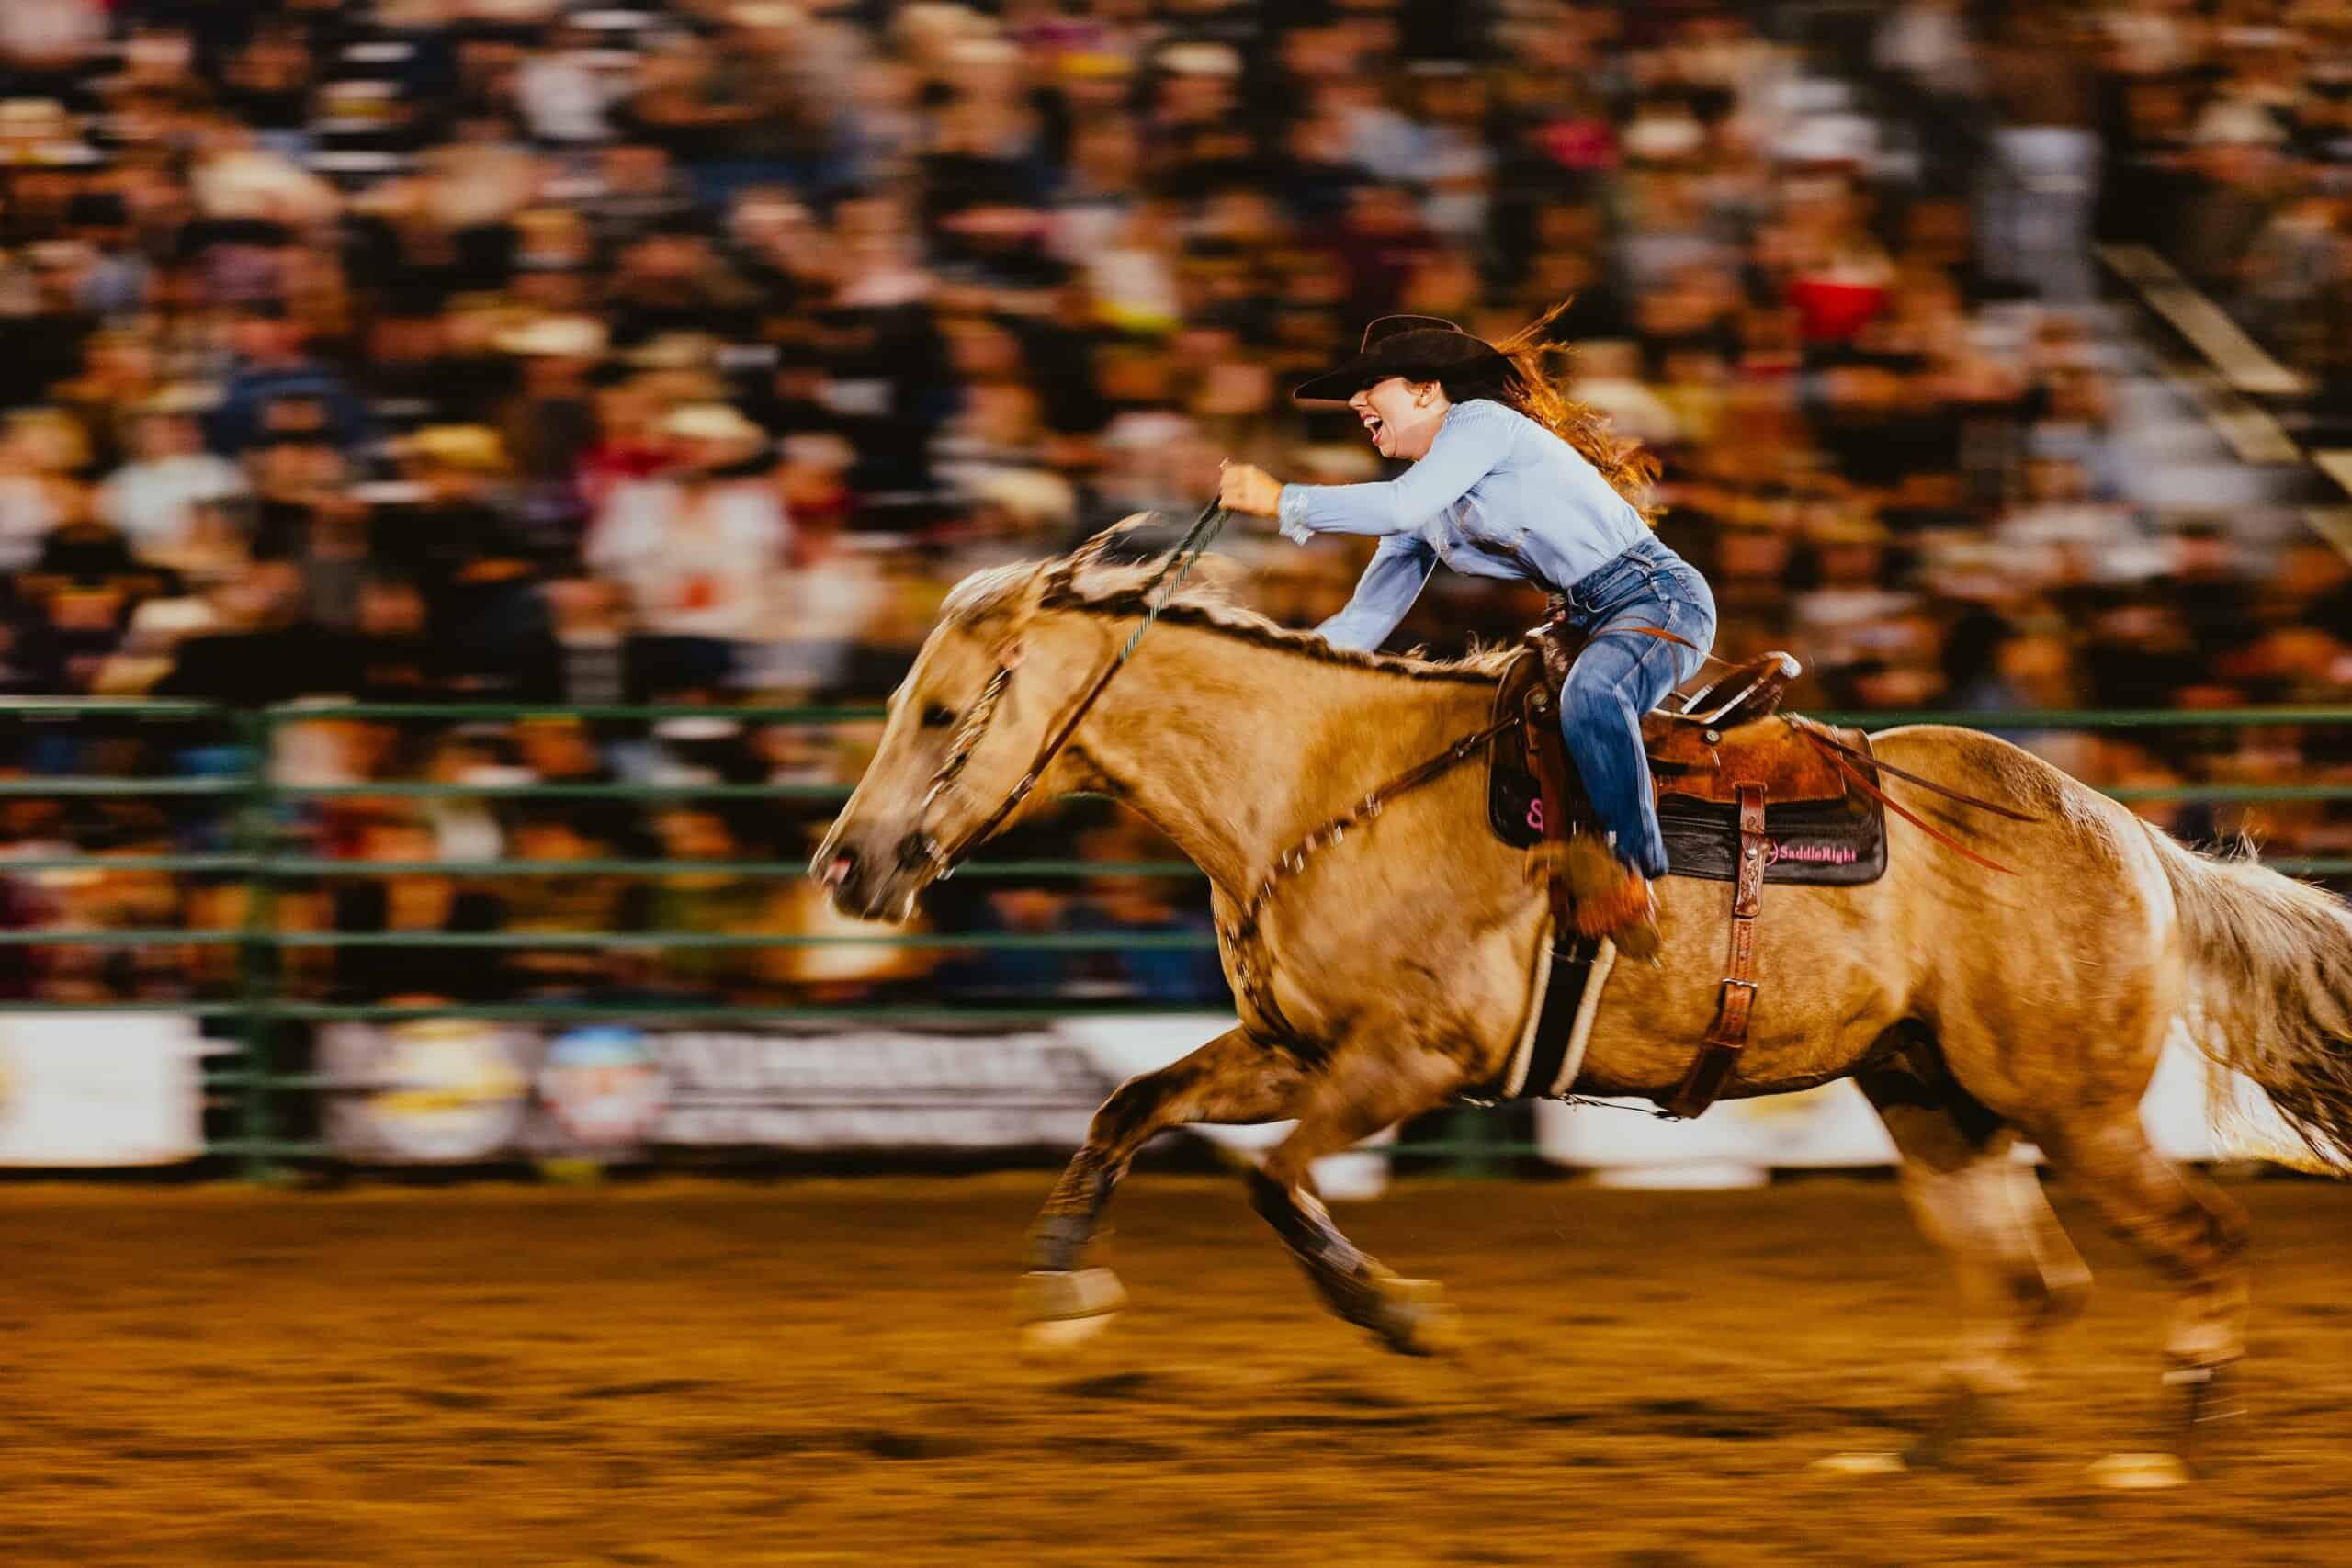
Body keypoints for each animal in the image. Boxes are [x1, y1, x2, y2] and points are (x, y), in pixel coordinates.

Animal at [811, 526, 2352, 1480]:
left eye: (942, 712)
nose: (844, 864)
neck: (1315, 785)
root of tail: (2125, 832)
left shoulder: (1408, 1058)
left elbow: (1279, 1180)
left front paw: (1403, 1315)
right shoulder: (1290, 1043)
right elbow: (1130, 1107)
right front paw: (1065, 1296)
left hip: (2075, 1107)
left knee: (2201, 1236)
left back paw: (2170, 1442)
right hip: (1935, 1102)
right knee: (2034, 1280)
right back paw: (1920, 1447)